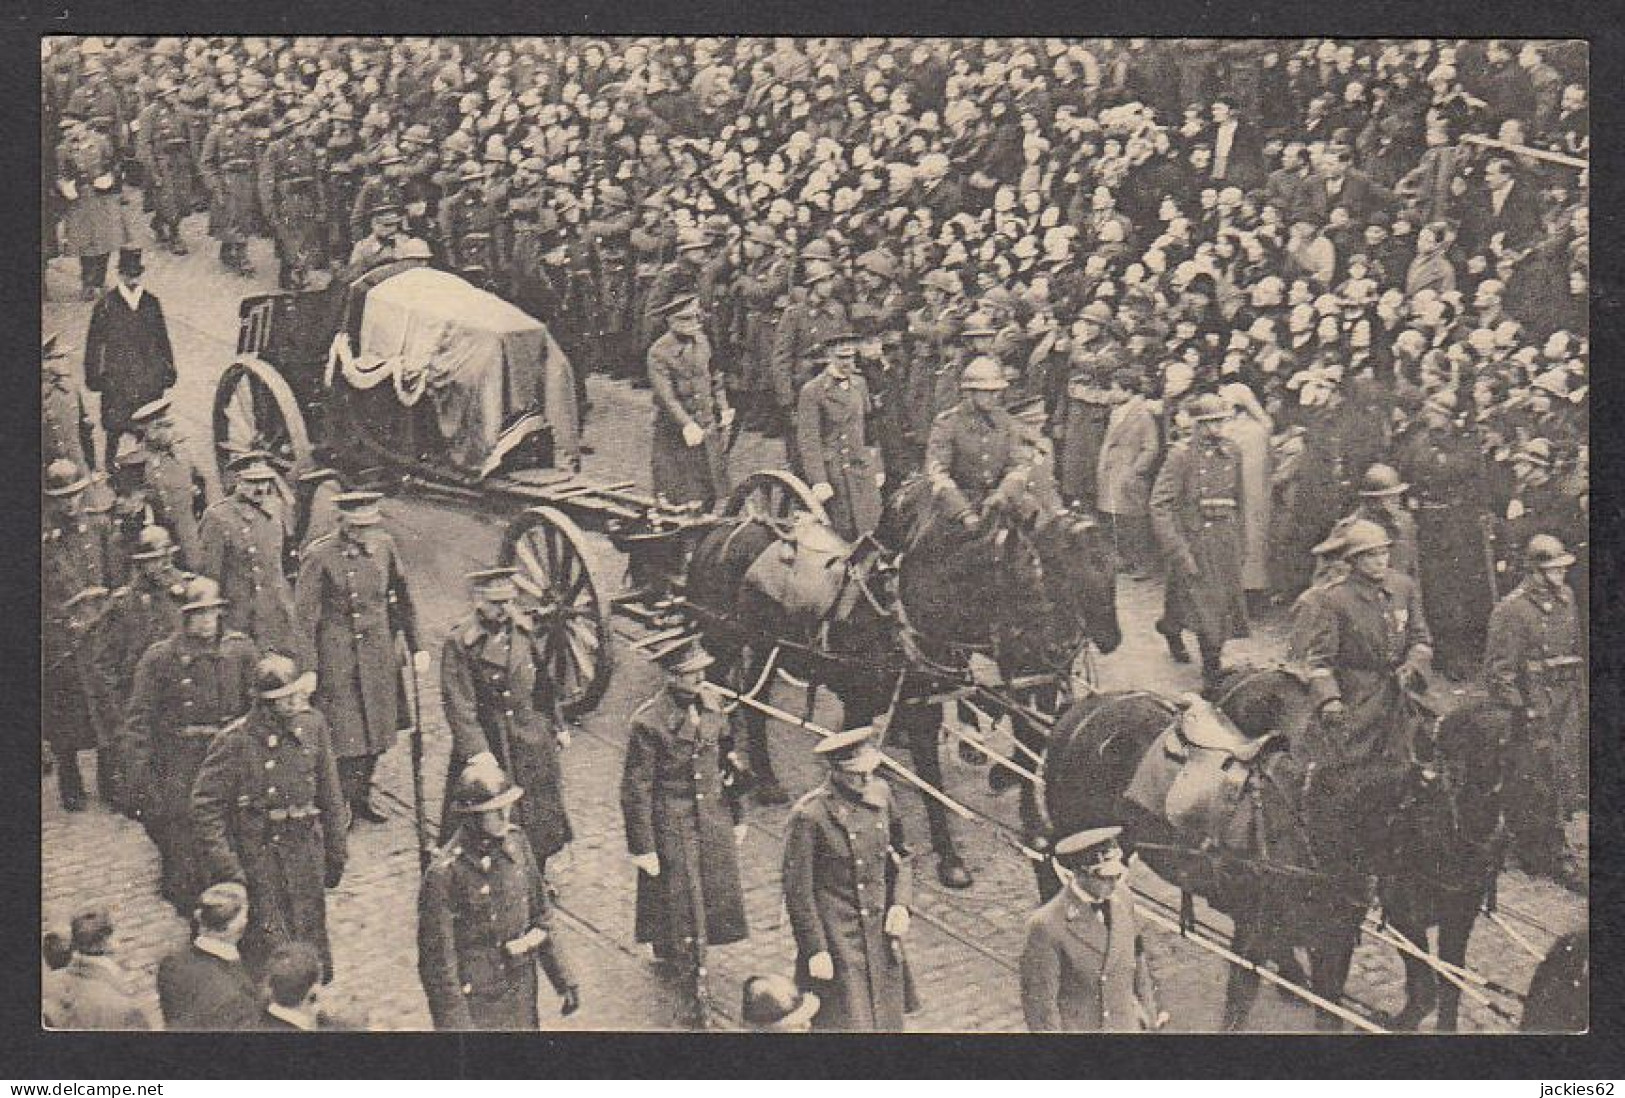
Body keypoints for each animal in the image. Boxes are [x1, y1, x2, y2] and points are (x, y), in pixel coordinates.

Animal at [682, 484, 1118, 890]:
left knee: (753, 706)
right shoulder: (858, 708)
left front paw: (950, 858)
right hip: (723, 642)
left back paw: (767, 779)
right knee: (717, 695)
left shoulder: (923, 707)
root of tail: (722, 529)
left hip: (766, 649)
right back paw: (731, 767)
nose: (1058, 649)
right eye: (1025, 581)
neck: (900, 618)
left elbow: (932, 782)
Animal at [1040, 665, 1508, 1033]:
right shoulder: (1252, 933)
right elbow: (1238, 1004)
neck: (1315, 826)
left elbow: (1332, 1012)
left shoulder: (1334, 942)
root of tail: (1083, 707)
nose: (1470, 889)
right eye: (1434, 823)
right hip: (1083, 837)